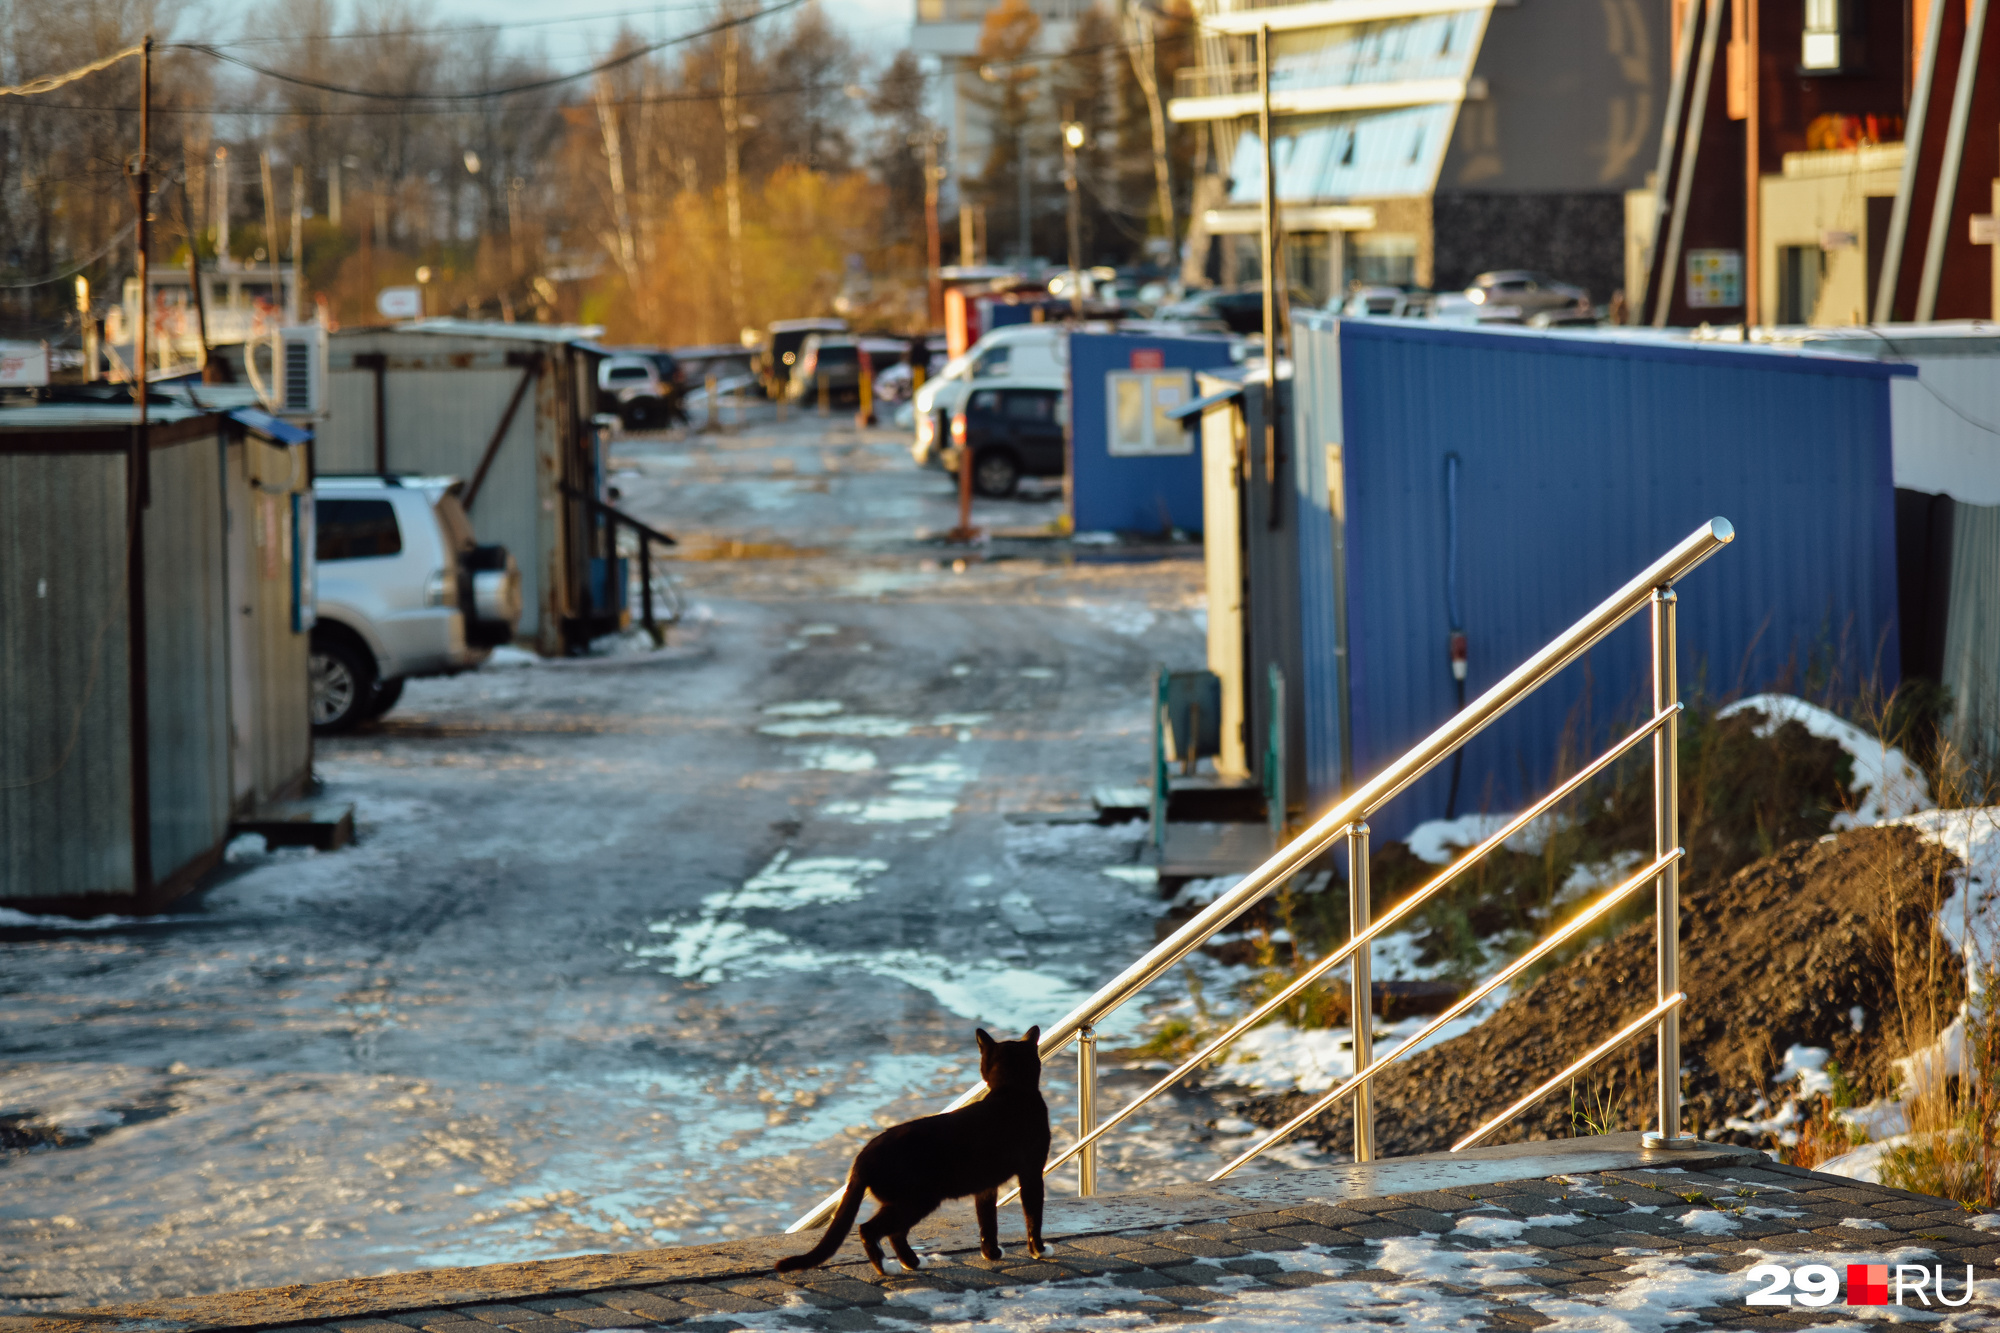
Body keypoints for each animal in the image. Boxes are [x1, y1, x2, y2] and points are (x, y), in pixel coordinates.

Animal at [768, 1020, 1048, 1272]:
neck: (1010, 1090)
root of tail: (862, 1156)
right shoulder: (1032, 1172)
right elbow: (1033, 1214)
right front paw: (1039, 1250)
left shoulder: (986, 1186)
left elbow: (987, 1220)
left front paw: (991, 1253)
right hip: (919, 1198)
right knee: (871, 1229)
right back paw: (888, 1267)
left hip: (907, 1199)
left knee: (894, 1233)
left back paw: (911, 1262)